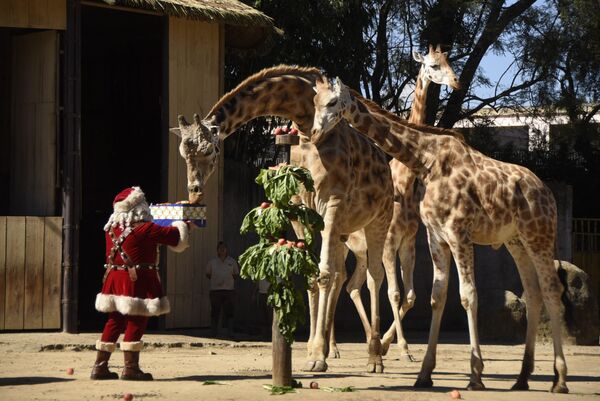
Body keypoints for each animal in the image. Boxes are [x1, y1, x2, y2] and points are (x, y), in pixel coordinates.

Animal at [178, 65, 406, 372]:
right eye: (182, 151)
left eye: (209, 150)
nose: (194, 191)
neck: (305, 123)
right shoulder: (303, 212)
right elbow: (313, 275)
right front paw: (313, 351)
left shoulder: (332, 202)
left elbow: (323, 274)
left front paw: (318, 356)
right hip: (342, 231)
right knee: (340, 274)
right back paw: (337, 348)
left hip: (378, 220)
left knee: (373, 276)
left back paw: (375, 357)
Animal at [312, 76, 568, 392]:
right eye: (315, 101)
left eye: (333, 102)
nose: (314, 133)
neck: (426, 161)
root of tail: (548, 193)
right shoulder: (436, 237)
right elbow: (437, 297)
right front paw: (424, 373)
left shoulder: (459, 233)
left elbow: (468, 295)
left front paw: (475, 375)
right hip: (516, 241)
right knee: (533, 293)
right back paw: (522, 378)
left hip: (539, 235)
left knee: (552, 290)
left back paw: (559, 379)